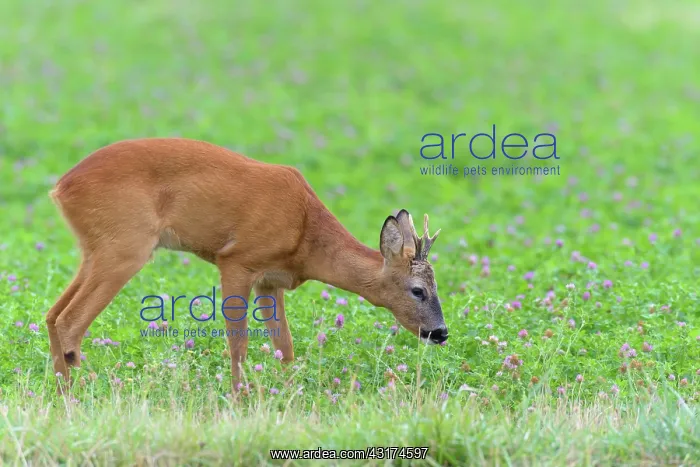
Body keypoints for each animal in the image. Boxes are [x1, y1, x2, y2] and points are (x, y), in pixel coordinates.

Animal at [46, 137, 447, 393]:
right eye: (418, 290)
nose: (441, 332)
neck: (307, 234)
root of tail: (61, 187)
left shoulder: (270, 281)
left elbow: (284, 346)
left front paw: (289, 394)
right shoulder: (236, 261)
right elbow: (237, 343)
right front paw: (240, 399)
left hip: (96, 249)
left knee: (52, 314)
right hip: (126, 246)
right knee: (70, 321)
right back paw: (77, 399)